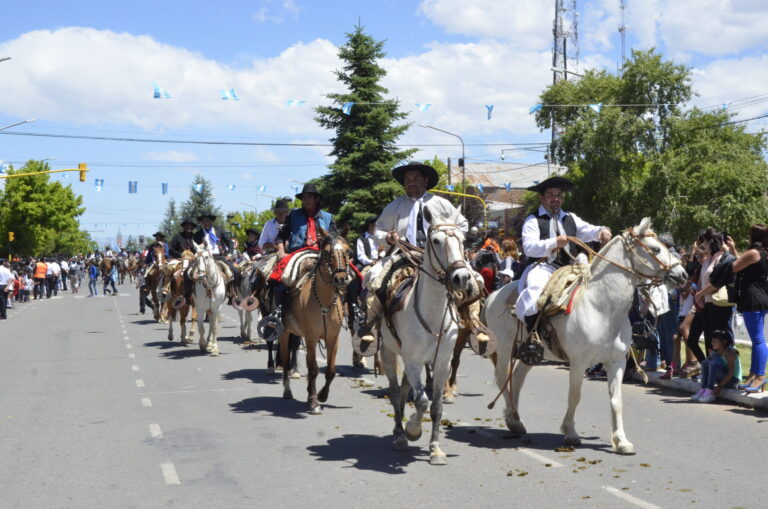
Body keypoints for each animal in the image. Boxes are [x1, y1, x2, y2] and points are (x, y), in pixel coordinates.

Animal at [280, 233, 354, 412]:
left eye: (348, 251)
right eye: (326, 253)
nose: (341, 278)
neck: (324, 302)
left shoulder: (333, 338)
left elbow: (331, 370)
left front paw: (321, 395)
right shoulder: (311, 338)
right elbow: (313, 368)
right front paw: (314, 401)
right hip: (284, 333)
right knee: (285, 361)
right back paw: (287, 391)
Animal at [378, 205, 474, 464]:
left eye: (463, 239)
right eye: (436, 240)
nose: (461, 277)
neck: (432, 314)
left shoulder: (441, 363)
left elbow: (436, 406)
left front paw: (435, 449)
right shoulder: (412, 361)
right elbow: (421, 400)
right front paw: (413, 429)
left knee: (403, 390)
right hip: (388, 351)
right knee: (395, 391)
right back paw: (400, 434)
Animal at [484, 217, 688, 452]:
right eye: (655, 249)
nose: (683, 275)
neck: (601, 308)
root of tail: (495, 295)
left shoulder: (616, 362)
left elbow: (616, 400)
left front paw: (621, 441)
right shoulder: (578, 362)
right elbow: (575, 396)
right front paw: (571, 433)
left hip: (530, 353)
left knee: (516, 378)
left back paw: (515, 420)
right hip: (505, 347)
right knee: (503, 378)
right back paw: (513, 418)